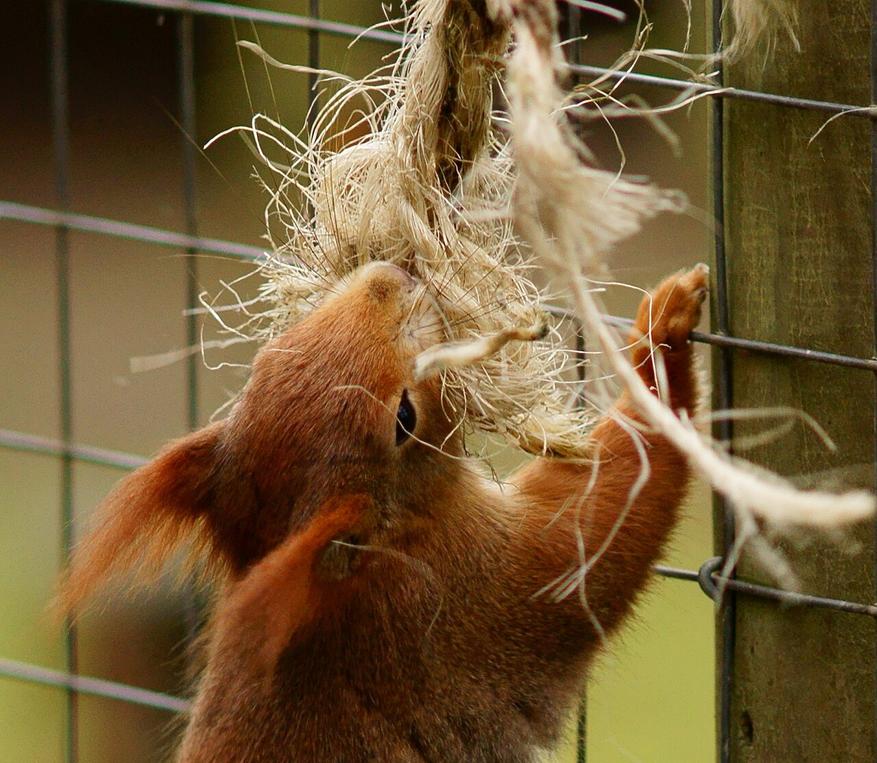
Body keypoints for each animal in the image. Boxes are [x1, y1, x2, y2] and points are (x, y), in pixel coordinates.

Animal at [60, 260, 707, 761]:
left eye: (267, 361)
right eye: (403, 419)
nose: (388, 277)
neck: (380, 558)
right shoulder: (482, 592)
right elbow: (608, 520)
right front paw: (663, 338)